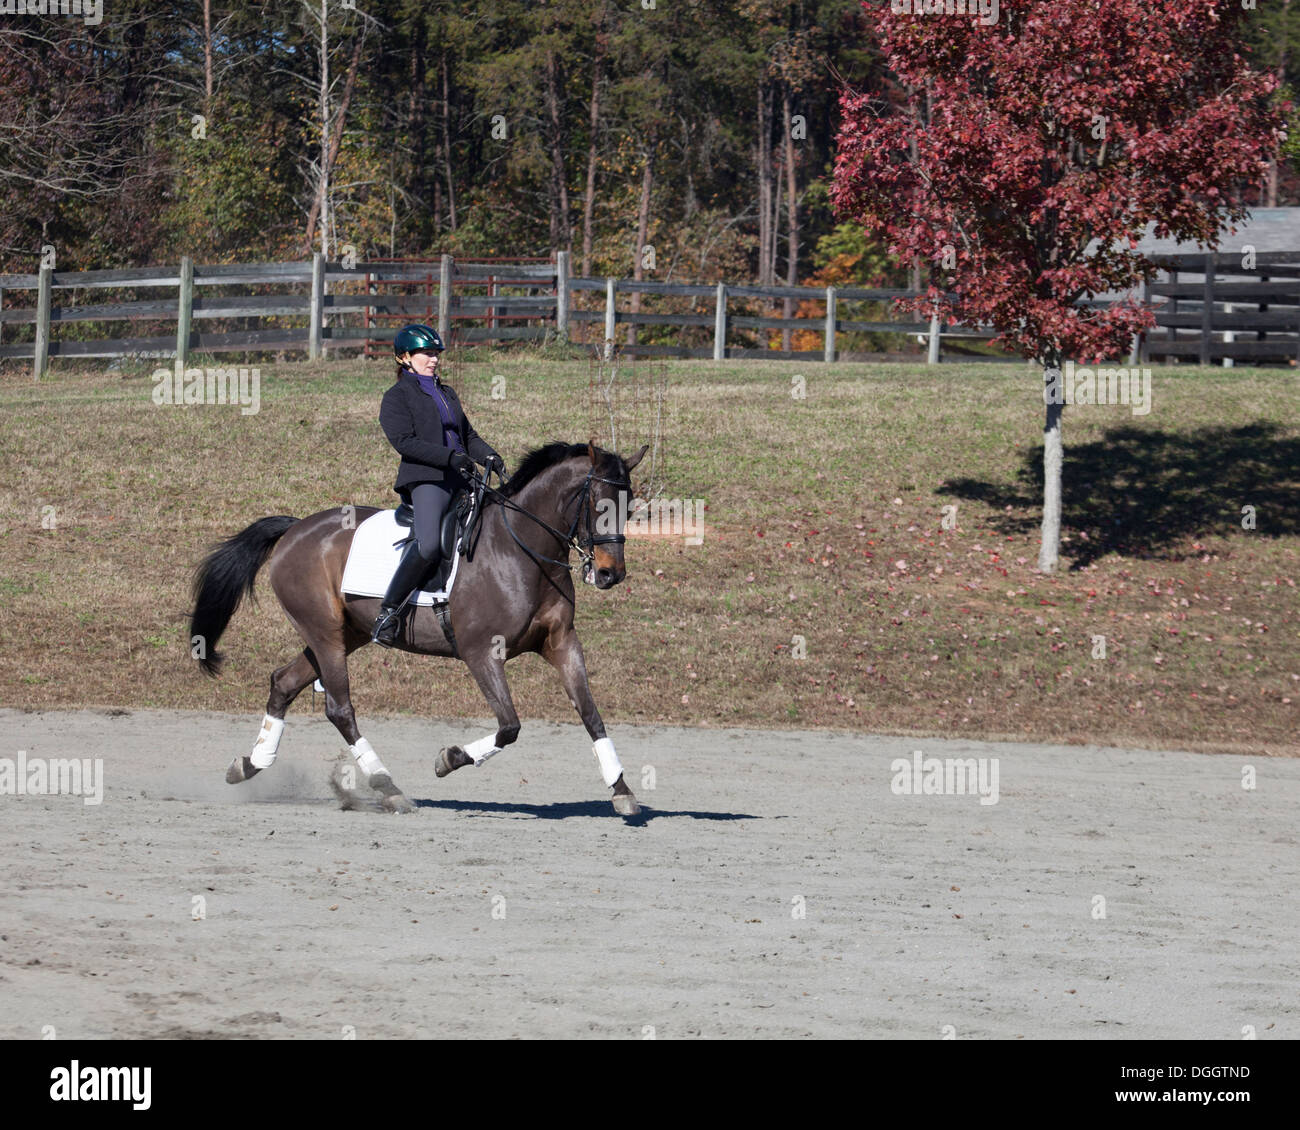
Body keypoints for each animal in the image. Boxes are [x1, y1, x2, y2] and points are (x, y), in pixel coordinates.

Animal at [187, 436, 644, 816]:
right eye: (599, 504)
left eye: (629, 505)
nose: (610, 574)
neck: (520, 550)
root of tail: (295, 528)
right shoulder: (482, 653)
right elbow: (509, 726)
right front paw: (448, 759)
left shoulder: (562, 643)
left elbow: (591, 713)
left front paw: (621, 791)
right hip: (325, 634)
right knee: (339, 708)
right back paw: (388, 788)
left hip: (342, 634)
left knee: (283, 682)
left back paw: (249, 765)